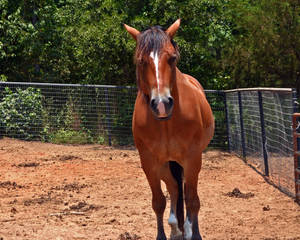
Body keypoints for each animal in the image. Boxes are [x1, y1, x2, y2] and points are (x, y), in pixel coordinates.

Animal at [125, 19, 216, 239]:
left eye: (172, 58)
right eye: (141, 61)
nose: (162, 104)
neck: (166, 124)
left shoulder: (192, 159)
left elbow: (192, 200)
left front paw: (195, 233)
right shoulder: (149, 162)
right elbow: (158, 202)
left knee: (187, 194)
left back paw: (187, 229)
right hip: (165, 164)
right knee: (174, 188)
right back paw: (176, 227)